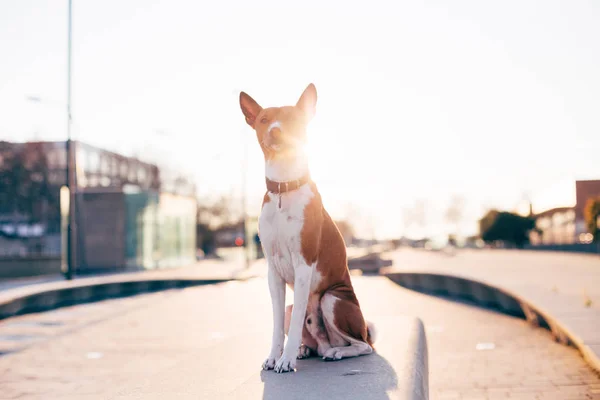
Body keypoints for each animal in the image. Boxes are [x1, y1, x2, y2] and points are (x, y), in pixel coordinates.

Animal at [240, 83, 376, 374]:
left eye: (292, 119)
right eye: (264, 120)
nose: (275, 130)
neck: (284, 187)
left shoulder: (304, 263)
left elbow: (293, 326)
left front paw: (286, 359)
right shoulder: (273, 271)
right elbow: (277, 325)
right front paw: (275, 356)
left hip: (332, 299)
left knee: (363, 345)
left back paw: (336, 352)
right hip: (295, 307)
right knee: (312, 338)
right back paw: (306, 349)